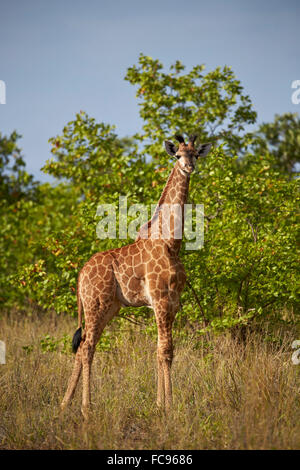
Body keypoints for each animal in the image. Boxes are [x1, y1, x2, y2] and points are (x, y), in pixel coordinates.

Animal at [60, 134, 211, 416]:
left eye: (196, 154)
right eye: (177, 156)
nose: (189, 167)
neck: (171, 242)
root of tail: (81, 275)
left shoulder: (171, 302)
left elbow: (160, 350)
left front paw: (159, 403)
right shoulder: (161, 299)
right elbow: (166, 351)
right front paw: (169, 406)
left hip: (109, 307)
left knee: (83, 345)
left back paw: (65, 404)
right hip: (96, 304)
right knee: (86, 347)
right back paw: (86, 408)